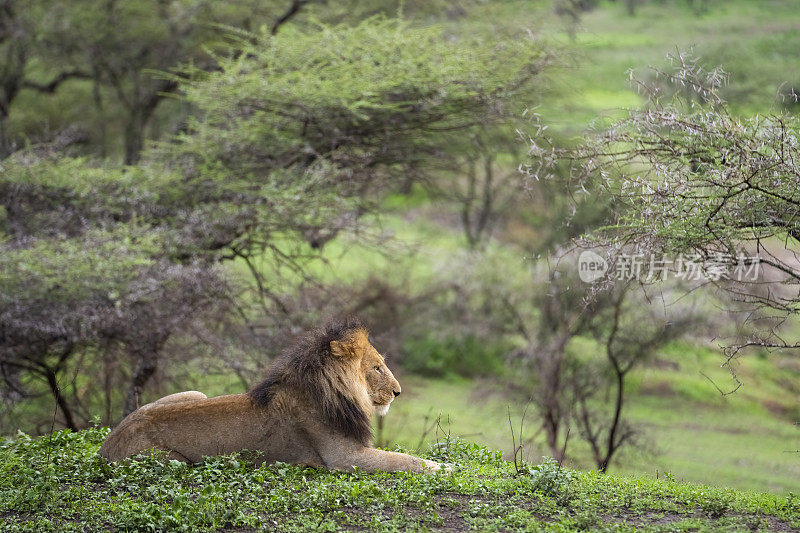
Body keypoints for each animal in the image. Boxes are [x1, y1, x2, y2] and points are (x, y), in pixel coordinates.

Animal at [99, 314, 444, 472]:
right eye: (377, 367)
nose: (398, 392)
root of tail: (105, 447)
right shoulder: (344, 458)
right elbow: (403, 460)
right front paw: (443, 468)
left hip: (195, 393)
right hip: (172, 461)